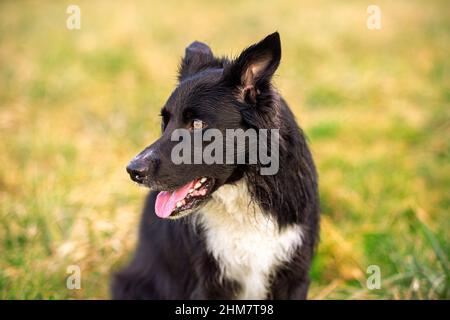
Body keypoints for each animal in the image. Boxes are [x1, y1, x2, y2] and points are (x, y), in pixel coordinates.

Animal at [114, 33, 322, 300]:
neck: (244, 197)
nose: (133, 171)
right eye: (165, 122)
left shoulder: (294, 274)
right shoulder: (207, 283)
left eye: (197, 124)